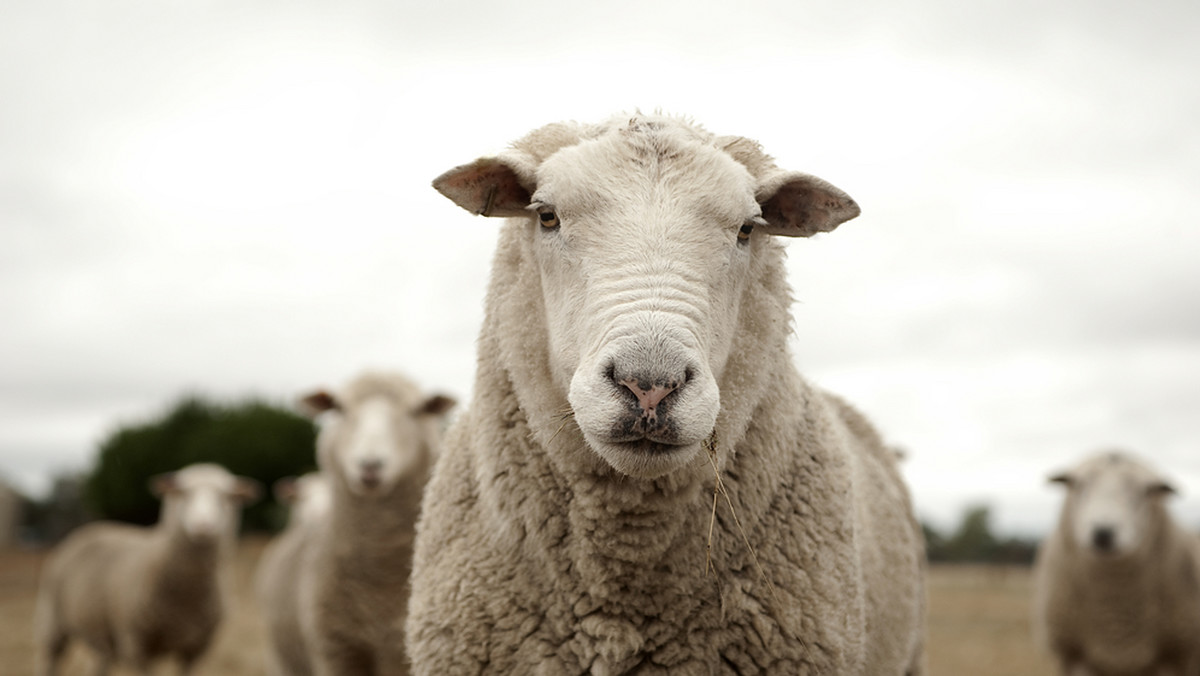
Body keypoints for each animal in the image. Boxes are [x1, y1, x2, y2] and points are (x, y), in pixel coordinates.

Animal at [32, 463, 259, 676]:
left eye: (228, 496)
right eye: (181, 492)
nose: (203, 526)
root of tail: (90, 528)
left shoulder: (196, 649)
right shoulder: (137, 646)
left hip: (99, 634)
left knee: (98, 664)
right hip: (51, 623)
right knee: (49, 661)